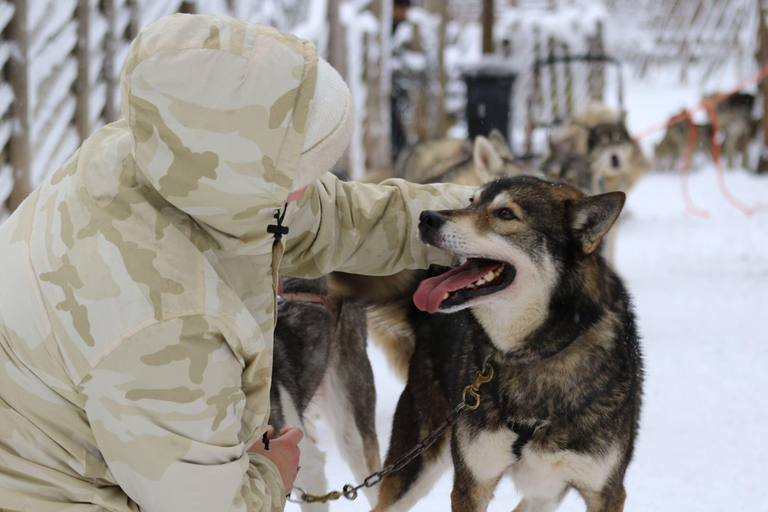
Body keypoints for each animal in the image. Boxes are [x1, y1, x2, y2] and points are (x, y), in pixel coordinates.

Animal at [336, 177, 640, 512]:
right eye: (472, 201)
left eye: (505, 213)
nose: (426, 218)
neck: (531, 357)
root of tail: (425, 318)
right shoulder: (471, 484)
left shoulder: (605, 491)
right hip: (415, 462)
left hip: (543, 492)